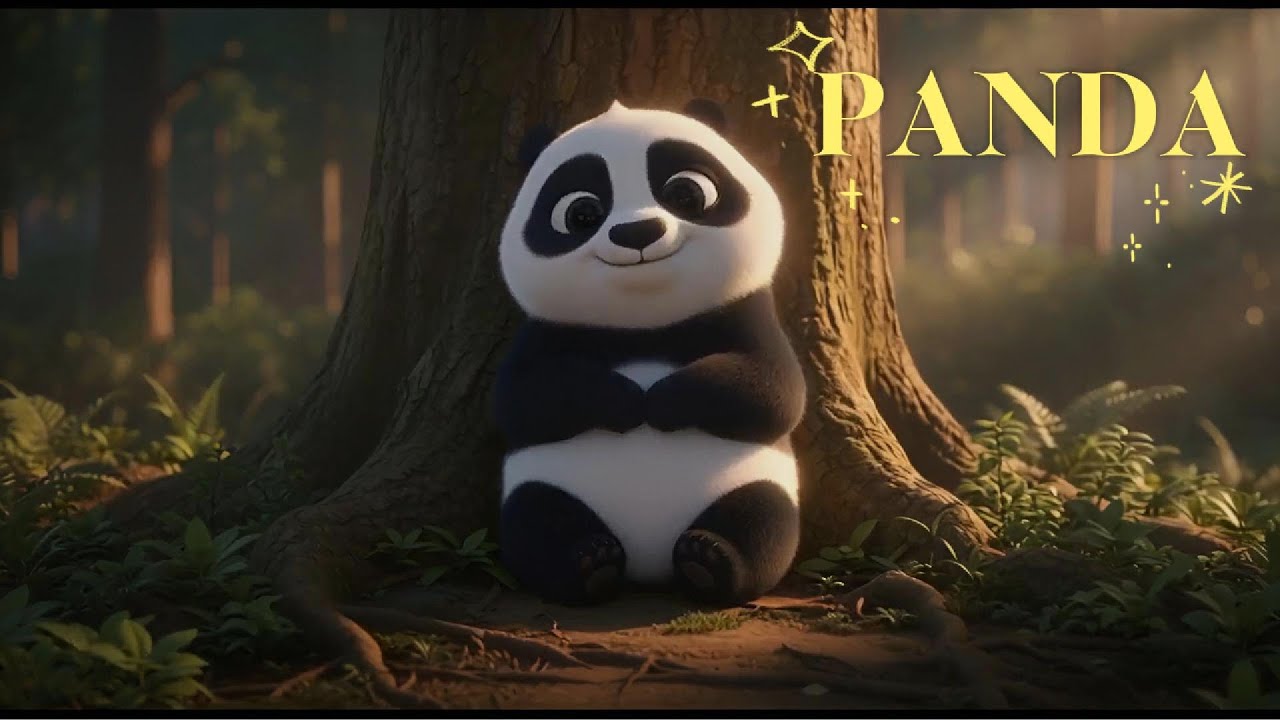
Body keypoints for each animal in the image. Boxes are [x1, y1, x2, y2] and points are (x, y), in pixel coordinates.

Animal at [494, 98, 806, 607]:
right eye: (581, 213)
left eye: (687, 193)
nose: (636, 231)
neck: (645, 327)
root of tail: (649, 567)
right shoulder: (543, 331)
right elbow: (521, 400)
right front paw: (627, 400)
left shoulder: (747, 313)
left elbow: (773, 391)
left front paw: (660, 400)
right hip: (545, 484)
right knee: (536, 520)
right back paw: (590, 563)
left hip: (752, 478)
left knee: (764, 519)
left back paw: (709, 561)